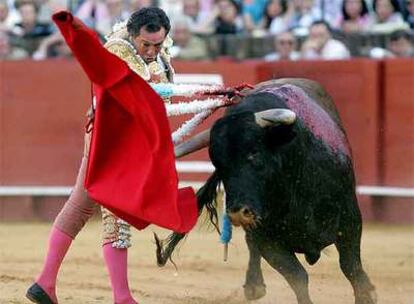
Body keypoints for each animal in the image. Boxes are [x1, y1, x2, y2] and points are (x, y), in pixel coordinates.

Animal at [154, 79, 376, 304]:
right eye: (218, 164)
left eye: (255, 154)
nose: (238, 213)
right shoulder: (267, 239)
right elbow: (297, 276)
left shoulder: (349, 220)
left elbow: (351, 268)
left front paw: (368, 295)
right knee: (251, 244)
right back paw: (254, 286)